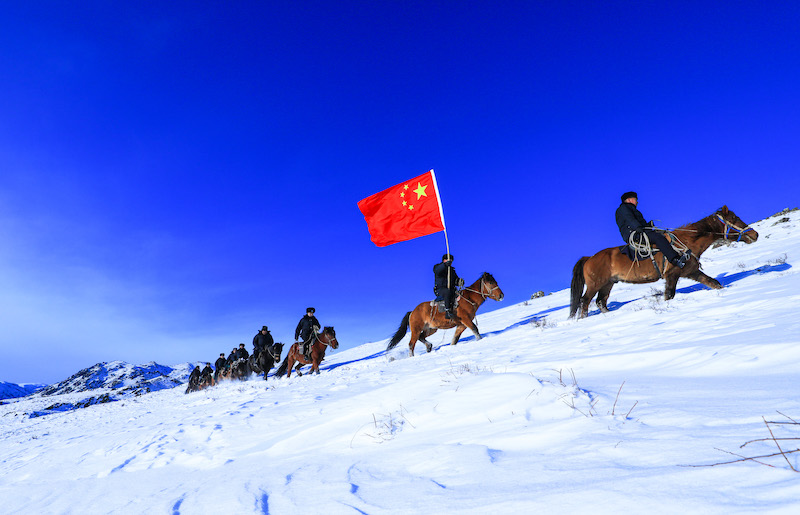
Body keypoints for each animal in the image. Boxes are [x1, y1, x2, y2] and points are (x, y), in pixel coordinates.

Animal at [568, 206, 756, 318]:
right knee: (585, 301)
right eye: (734, 218)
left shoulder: (692, 272)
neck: (687, 241)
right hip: (595, 284)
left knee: (601, 301)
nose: (755, 234)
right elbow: (669, 295)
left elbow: (714, 283)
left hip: (608, 284)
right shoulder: (672, 275)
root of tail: (589, 258)